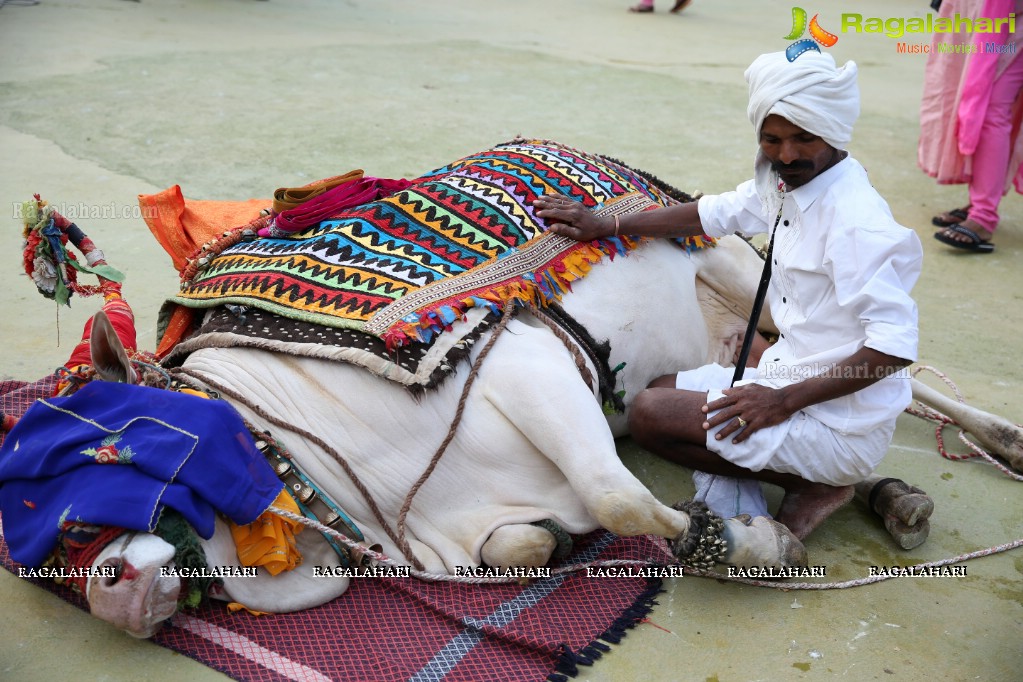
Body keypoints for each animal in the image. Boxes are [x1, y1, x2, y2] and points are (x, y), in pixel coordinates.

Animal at [81, 235, 814, 642]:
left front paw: (751, 545)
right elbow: (523, 543)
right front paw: (554, 540)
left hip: (742, 267)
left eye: (118, 449)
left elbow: (615, 499)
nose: (106, 591)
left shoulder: (524, 360)